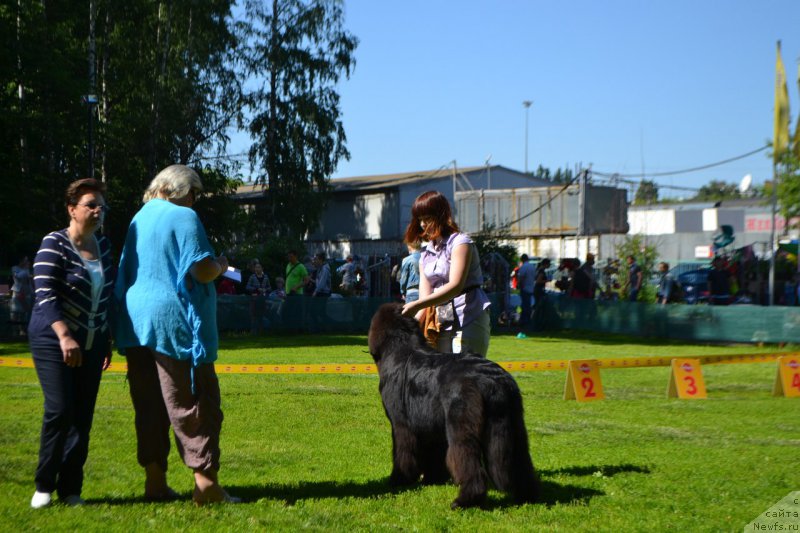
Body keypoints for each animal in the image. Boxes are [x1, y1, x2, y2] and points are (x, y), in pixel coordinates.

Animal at [368, 304, 536, 508]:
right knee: (520, 460)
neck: (402, 348)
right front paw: (432, 479)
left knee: (467, 460)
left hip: (461, 424)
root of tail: (492, 379)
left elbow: (403, 453)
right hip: (512, 423)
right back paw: (527, 494)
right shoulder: (432, 425)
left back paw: (465, 500)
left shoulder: (402, 425)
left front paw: (398, 479)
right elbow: (434, 453)